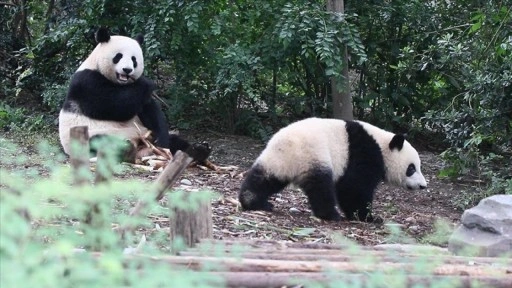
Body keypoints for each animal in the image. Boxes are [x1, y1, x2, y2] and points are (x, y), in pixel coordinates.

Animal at [59, 27, 210, 162]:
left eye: (134, 59)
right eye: (118, 56)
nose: (127, 70)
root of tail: (140, 145)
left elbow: (151, 112)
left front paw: (162, 139)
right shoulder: (86, 83)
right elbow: (113, 105)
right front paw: (146, 82)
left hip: (146, 133)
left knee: (175, 142)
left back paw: (198, 151)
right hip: (90, 135)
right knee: (100, 143)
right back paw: (125, 150)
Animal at [240, 117, 428, 223]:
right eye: (412, 168)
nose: (423, 186)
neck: (382, 146)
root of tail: (288, 145)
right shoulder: (364, 154)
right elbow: (354, 187)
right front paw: (369, 217)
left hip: (277, 160)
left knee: (265, 177)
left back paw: (252, 200)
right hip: (315, 155)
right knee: (320, 186)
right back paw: (330, 214)